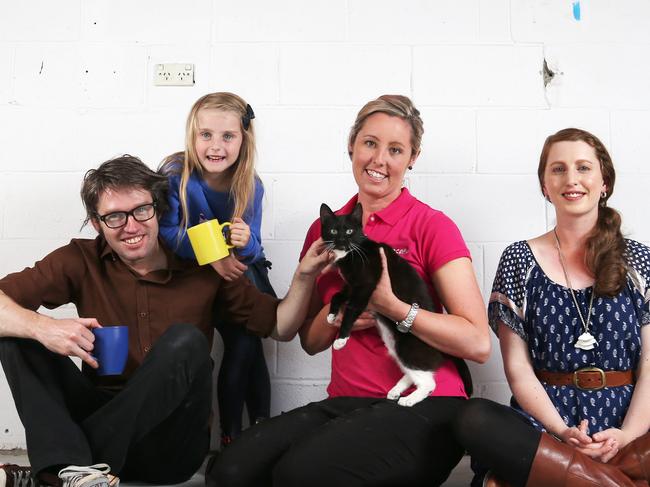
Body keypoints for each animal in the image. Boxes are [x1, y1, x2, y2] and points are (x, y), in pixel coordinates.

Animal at [318, 203, 470, 408]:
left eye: (349, 231)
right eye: (333, 230)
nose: (342, 240)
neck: (351, 253)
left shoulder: (366, 284)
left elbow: (351, 309)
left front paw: (341, 339)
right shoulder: (351, 285)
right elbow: (337, 295)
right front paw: (332, 315)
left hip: (409, 345)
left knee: (428, 381)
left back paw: (409, 399)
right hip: (394, 343)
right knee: (412, 370)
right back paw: (396, 390)